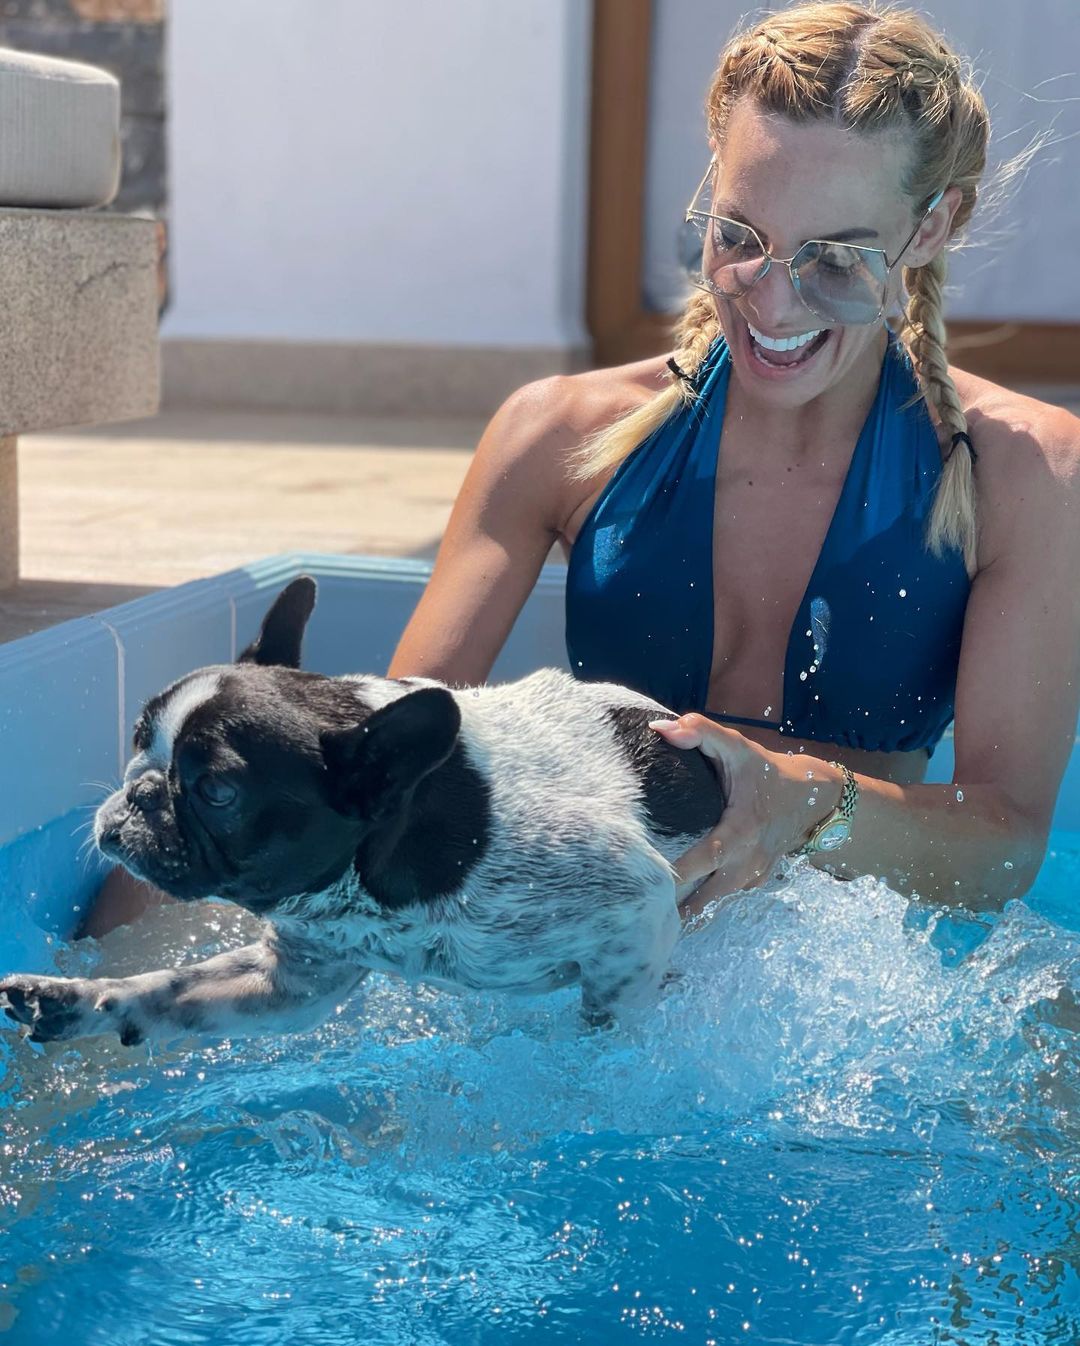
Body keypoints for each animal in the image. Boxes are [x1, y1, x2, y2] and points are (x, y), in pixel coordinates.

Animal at [0, 577, 725, 1045]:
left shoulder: (634, 909)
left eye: (217, 792)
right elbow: (166, 991)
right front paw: (77, 1001)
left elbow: (611, 1013)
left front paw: (591, 1061)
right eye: (136, 736)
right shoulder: (291, 982)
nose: (141, 792)